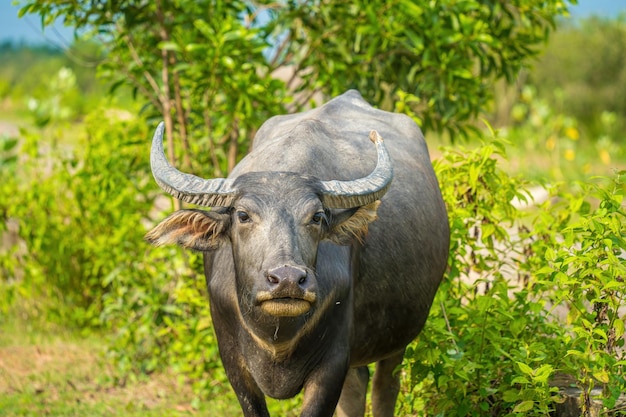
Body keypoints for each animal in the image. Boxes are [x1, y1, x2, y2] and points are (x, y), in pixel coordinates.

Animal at [146, 89, 448, 414]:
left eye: (316, 217)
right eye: (243, 215)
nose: (288, 280)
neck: (277, 337)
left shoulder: (332, 363)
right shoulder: (233, 362)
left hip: (397, 340)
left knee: (384, 388)